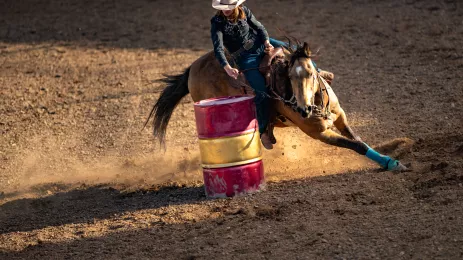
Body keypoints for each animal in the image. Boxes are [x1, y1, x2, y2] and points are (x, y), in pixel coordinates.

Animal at [147, 40, 408, 172]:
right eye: (290, 77)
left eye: (311, 73)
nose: (303, 110)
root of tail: (192, 68)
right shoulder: (320, 134)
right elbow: (355, 145)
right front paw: (392, 164)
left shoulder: (341, 116)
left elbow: (358, 139)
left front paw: (390, 156)